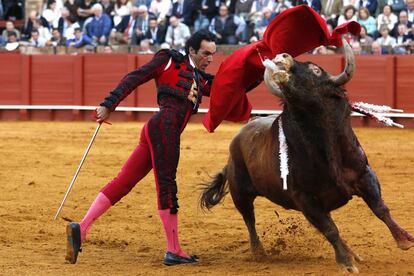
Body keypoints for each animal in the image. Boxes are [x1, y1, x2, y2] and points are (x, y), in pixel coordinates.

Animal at [199, 37, 412, 272]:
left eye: (316, 70)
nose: (282, 56)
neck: (325, 143)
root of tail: (238, 138)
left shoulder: (364, 174)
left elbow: (379, 208)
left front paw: (404, 239)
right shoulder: (305, 198)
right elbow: (330, 229)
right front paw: (346, 264)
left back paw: (353, 253)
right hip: (240, 191)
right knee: (249, 218)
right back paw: (259, 252)